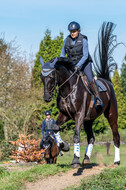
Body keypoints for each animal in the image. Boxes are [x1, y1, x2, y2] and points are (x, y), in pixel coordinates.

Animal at [40, 22, 120, 168]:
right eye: (42, 77)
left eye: (52, 76)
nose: (47, 98)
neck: (68, 89)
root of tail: (107, 81)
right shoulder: (65, 114)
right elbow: (55, 128)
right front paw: (64, 146)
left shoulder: (79, 114)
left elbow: (76, 136)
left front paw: (75, 159)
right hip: (89, 119)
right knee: (91, 138)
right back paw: (86, 158)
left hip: (111, 114)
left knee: (116, 136)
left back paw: (116, 161)